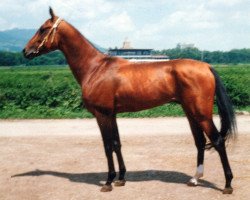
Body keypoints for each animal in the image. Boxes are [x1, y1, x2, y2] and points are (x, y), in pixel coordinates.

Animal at [23, 7, 236, 194]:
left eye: (43, 29)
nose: (26, 51)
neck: (95, 68)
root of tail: (206, 66)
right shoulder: (112, 115)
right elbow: (117, 143)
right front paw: (121, 178)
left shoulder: (102, 115)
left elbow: (108, 146)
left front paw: (108, 181)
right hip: (190, 112)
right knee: (200, 141)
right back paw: (194, 179)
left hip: (201, 114)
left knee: (217, 141)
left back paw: (227, 184)